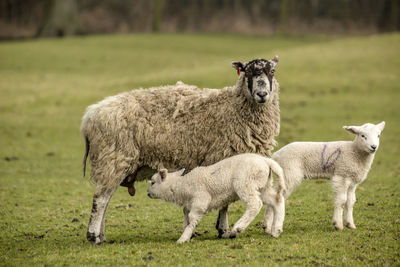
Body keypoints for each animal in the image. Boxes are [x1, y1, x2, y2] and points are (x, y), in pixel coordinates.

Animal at [147, 153, 288, 243]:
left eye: (153, 182)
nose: (147, 193)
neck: (182, 186)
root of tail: (266, 161)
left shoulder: (200, 201)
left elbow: (192, 218)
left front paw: (183, 238)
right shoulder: (188, 204)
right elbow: (186, 218)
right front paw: (188, 233)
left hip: (246, 183)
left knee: (255, 204)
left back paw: (238, 227)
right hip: (262, 185)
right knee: (277, 200)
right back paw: (276, 230)